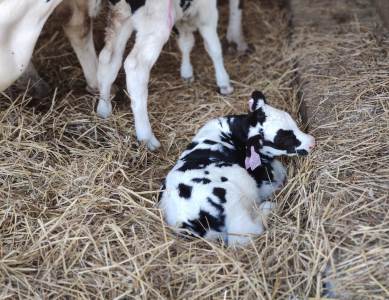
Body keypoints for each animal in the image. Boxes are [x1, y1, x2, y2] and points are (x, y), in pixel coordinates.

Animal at [159, 91, 314, 246]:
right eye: (283, 140)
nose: (312, 142)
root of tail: (186, 221)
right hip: (234, 202)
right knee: (243, 236)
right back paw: (267, 208)